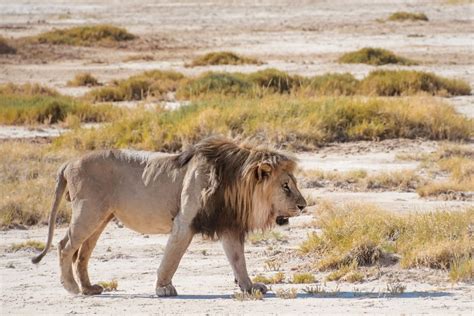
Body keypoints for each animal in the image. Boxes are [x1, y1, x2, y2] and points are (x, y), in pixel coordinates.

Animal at [32, 137, 308, 298]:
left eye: (293, 183)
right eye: (286, 186)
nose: (303, 206)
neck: (235, 185)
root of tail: (69, 162)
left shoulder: (228, 225)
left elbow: (238, 260)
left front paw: (250, 287)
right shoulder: (184, 222)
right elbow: (171, 258)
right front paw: (163, 288)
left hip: (101, 218)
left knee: (83, 253)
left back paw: (89, 288)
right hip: (88, 212)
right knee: (65, 246)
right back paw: (72, 288)